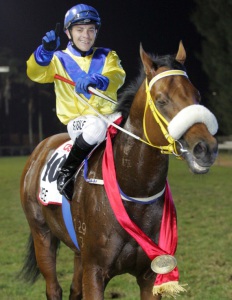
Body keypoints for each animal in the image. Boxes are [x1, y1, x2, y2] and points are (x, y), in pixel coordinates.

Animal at [19, 40, 218, 300]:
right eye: (161, 100)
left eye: (197, 95)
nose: (206, 148)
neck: (133, 190)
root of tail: (41, 148)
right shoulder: (95, 271)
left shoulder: (150, 275)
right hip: (42, 234)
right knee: (53, 288)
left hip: (78, 251)